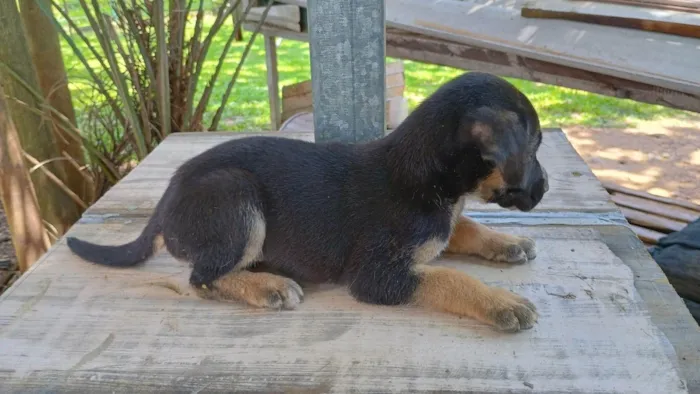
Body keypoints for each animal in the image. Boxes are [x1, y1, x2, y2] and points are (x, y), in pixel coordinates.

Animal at [67, 71, 548, 332]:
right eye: (534, 147)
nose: (544, 189)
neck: (427, 176)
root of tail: (167, 197)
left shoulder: (444, 225)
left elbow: (465, 228)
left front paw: (507, 243)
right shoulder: (378, 275)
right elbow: (451, 278)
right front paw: (501, 303)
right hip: (235, 194)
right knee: (202, 279)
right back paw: (268, 286)